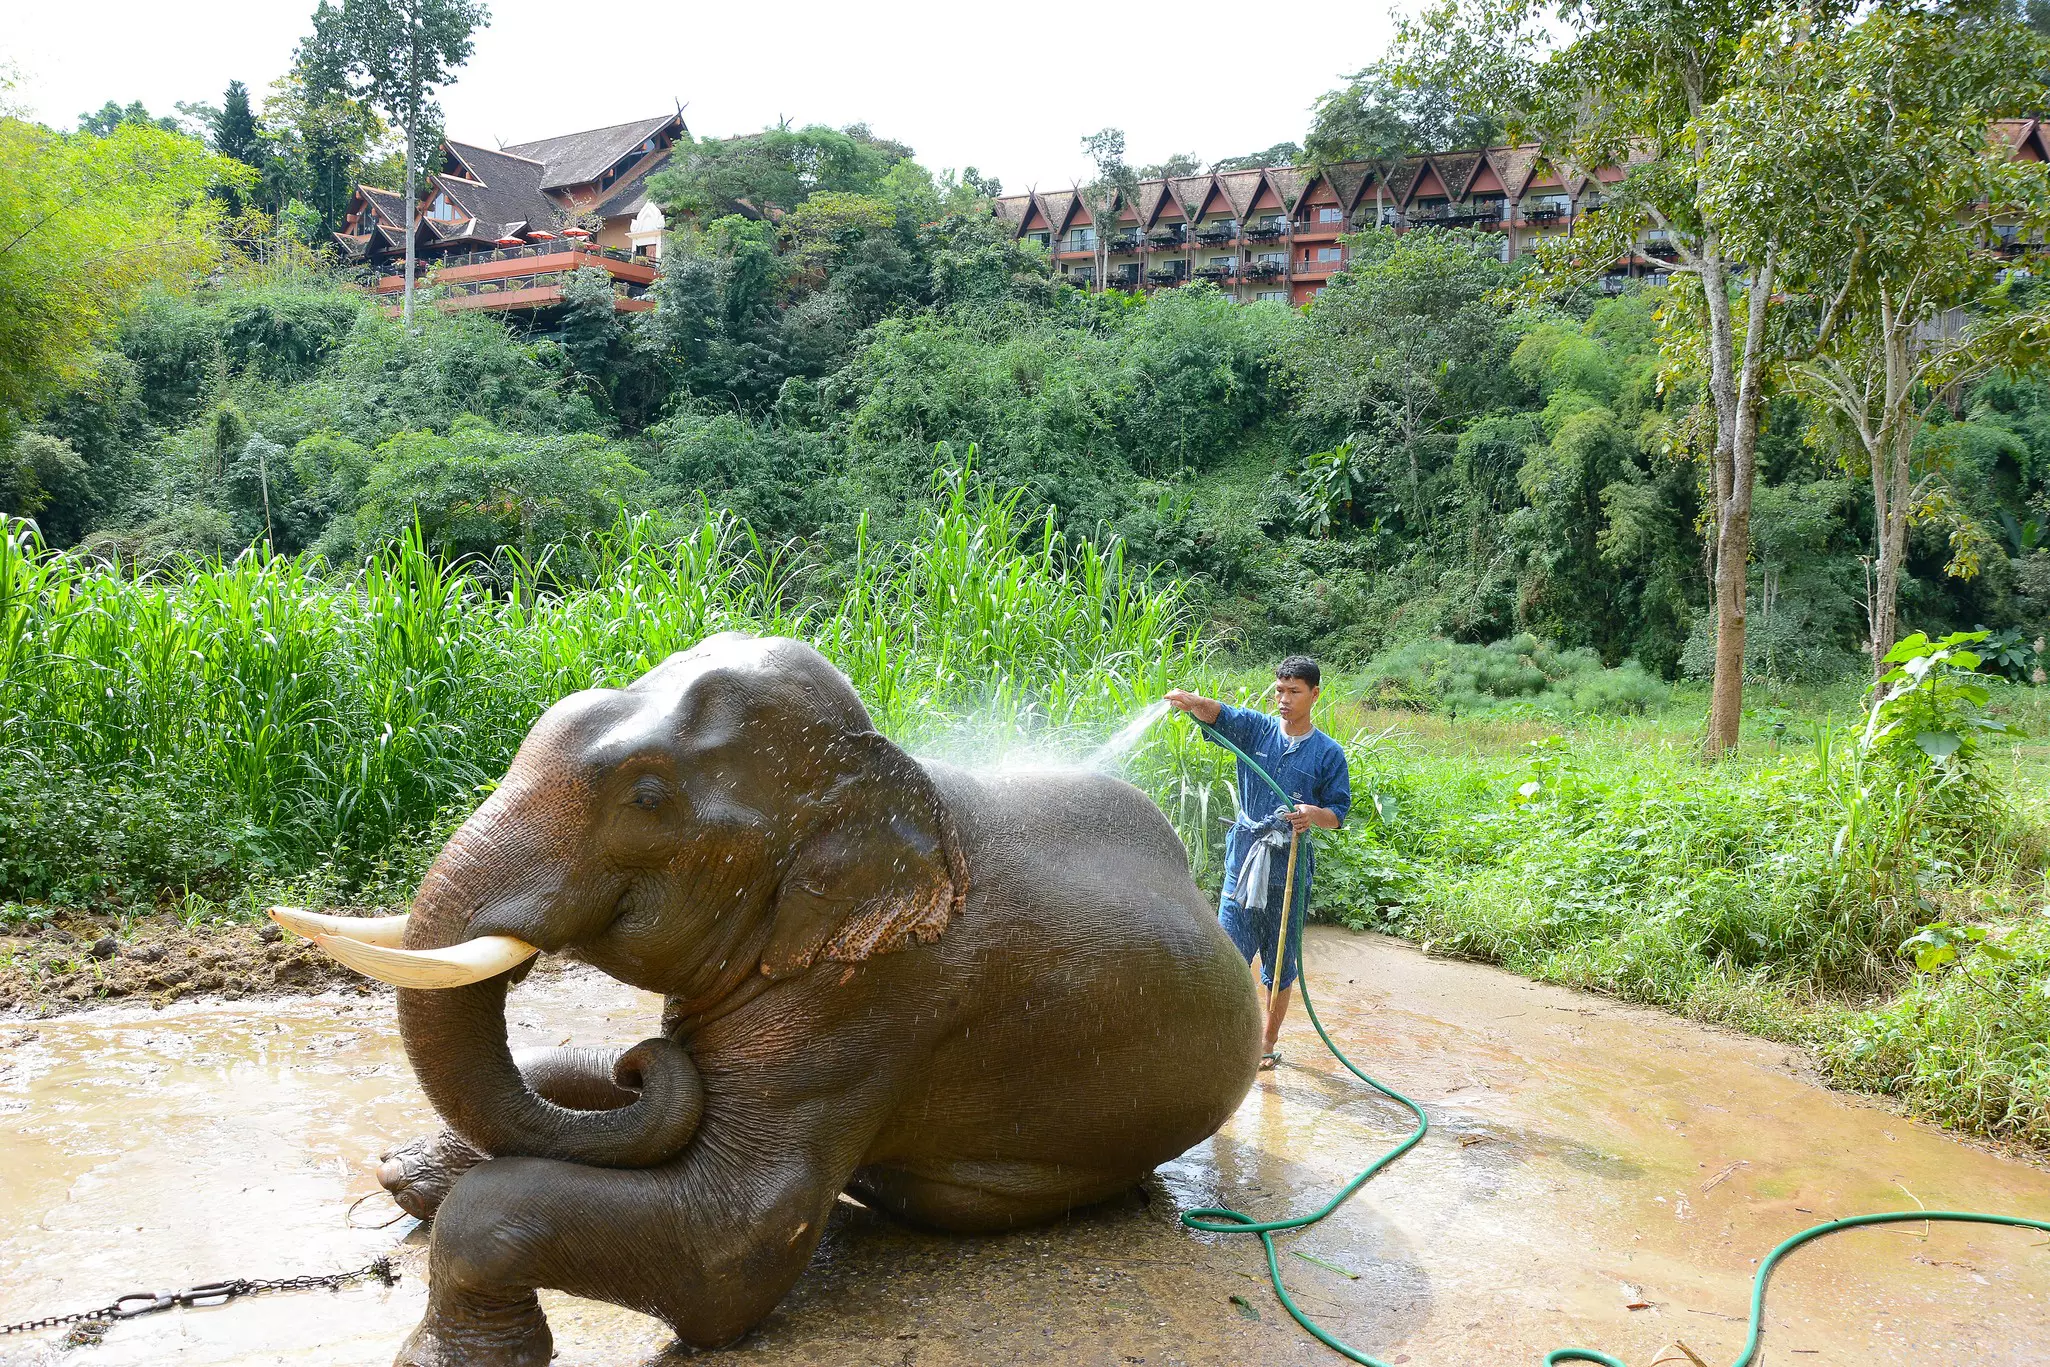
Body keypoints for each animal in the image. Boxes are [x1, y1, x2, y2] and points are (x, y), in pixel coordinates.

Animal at [277, 633, 1262, 1367]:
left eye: (646, 797)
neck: (883, 773)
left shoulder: (877, 997)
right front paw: (407, 1174)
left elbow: (732, 1244)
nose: (642, 1064)